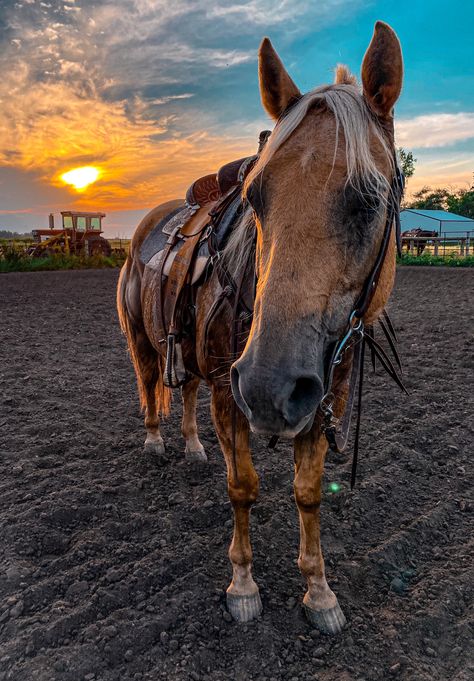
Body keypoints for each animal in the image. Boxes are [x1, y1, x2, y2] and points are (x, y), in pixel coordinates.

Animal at [118, 23, 404, 636]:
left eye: (369, 200)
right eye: (254, 196)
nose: (270, 389)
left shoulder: (323, 395)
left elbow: (309, 492)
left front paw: (319, 592)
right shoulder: (232, 394)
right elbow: (243, 486)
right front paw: (243, 586)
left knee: (185, 390)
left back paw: (192, 446)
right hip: (145, 341)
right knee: (150, 382)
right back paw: (155, 440)